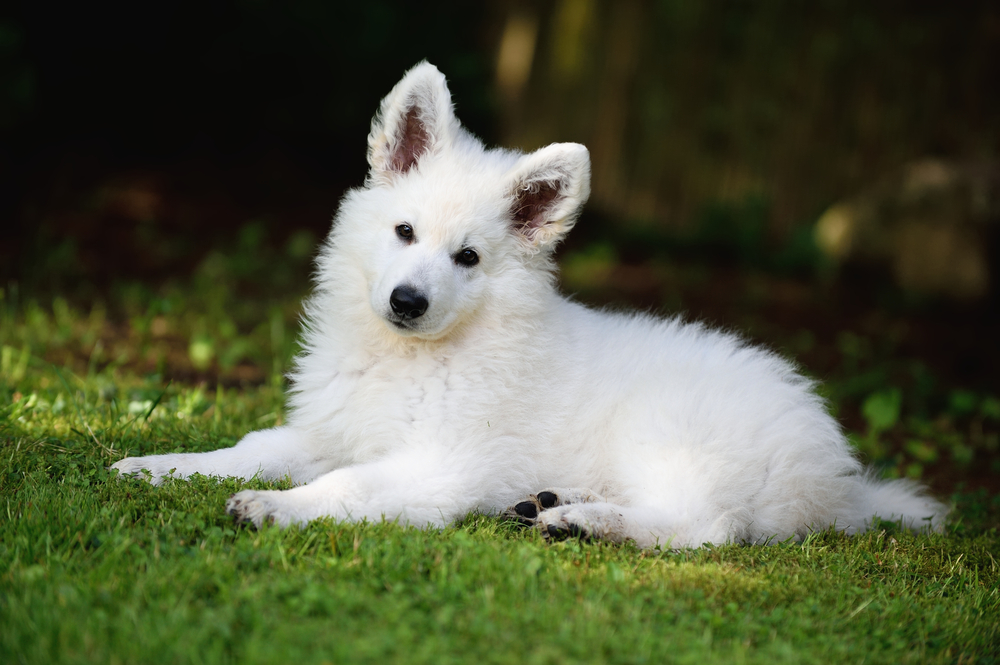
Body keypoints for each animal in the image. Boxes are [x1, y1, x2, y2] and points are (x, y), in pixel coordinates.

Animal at [113, 62, 948, 548]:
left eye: (470, 258)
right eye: (404, 231)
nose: (408, 301)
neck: (417, 356)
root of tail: (831, 475)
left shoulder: (441, 466)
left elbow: (345, 487)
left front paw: (272, 507)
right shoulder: (332, 431)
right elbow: (249, 445)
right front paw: (157, 464)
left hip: (670, 435)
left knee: (707, 528)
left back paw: (585, 521)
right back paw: (553, 500)